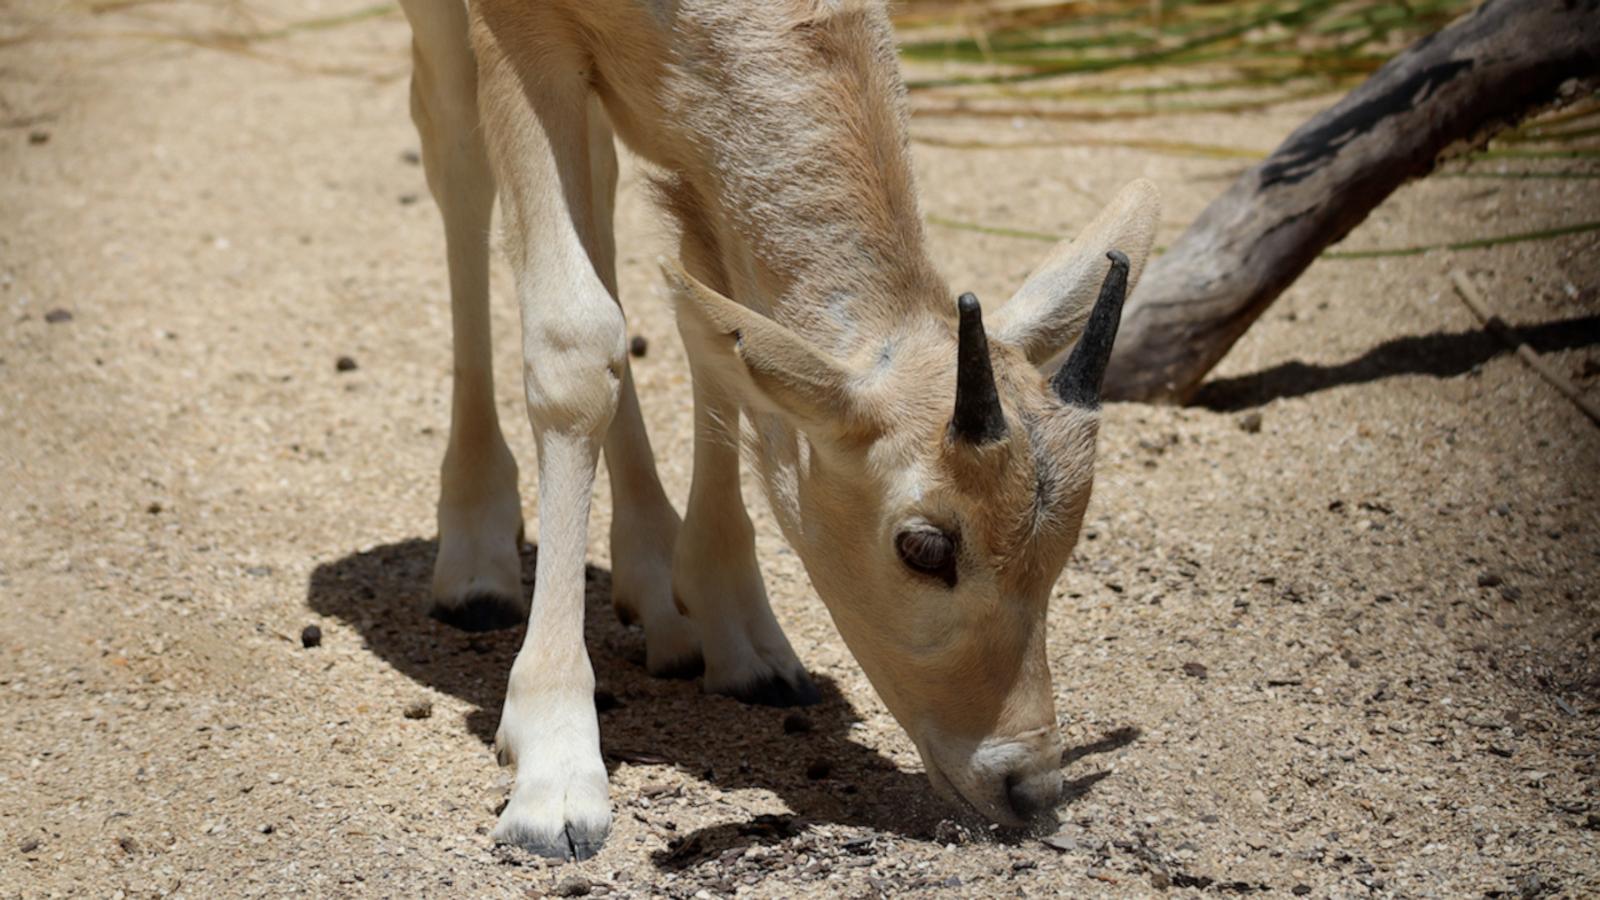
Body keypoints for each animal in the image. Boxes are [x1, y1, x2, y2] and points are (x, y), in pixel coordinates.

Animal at [393, 0, 1158, 858]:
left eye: (1065, 545)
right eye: (924, 548)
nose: (1026, 786)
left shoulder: (697, 151)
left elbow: (708, 330)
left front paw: (747, 643)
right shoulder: (521, 33)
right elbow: (576, 341)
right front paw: (556, 780)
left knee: (599, 191)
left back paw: (658, 591)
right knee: (455, 151)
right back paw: (475, 562)